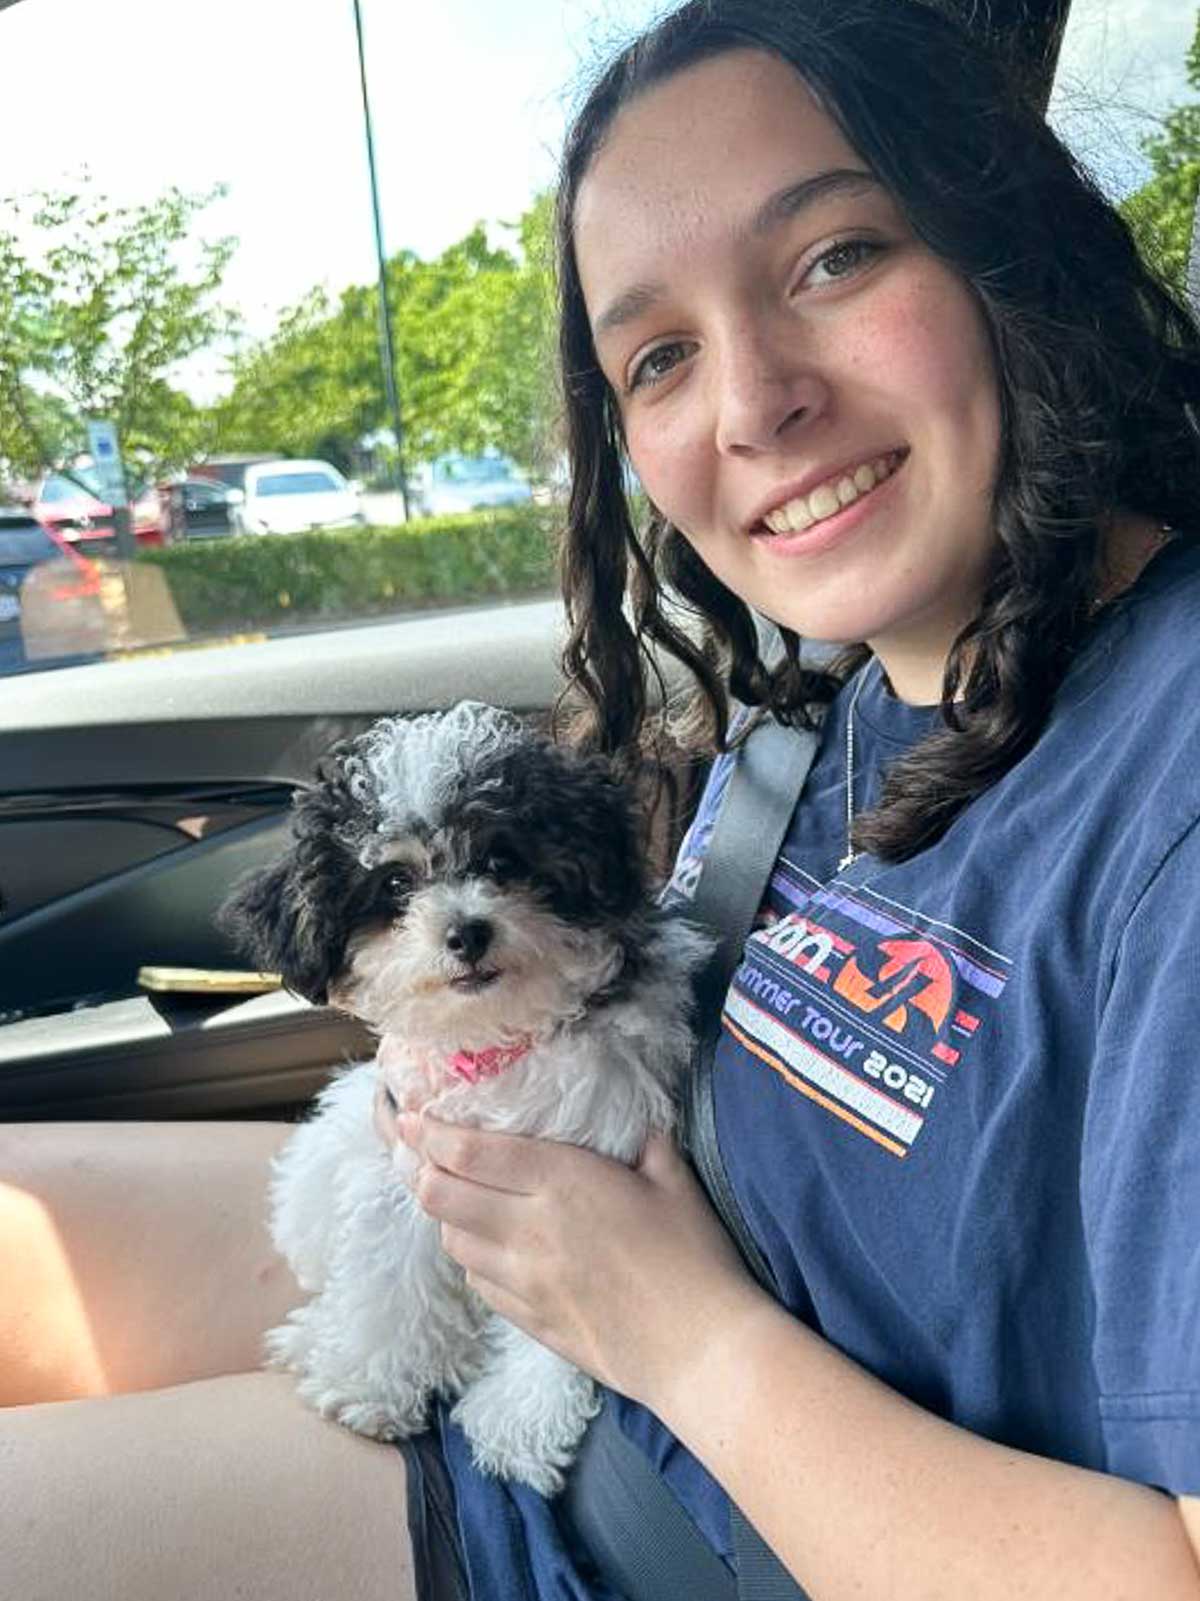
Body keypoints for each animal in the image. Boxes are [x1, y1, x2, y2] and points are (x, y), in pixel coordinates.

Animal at [220, 707, 710, 1492]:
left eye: (503, 860)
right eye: (394, 883)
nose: (467, 930)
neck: (500, 1038)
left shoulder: (582, 1183)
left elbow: (569, 1314)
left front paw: (522, 1418)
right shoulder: (407, 1163)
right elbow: (389, 1272)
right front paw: (368, 1383)